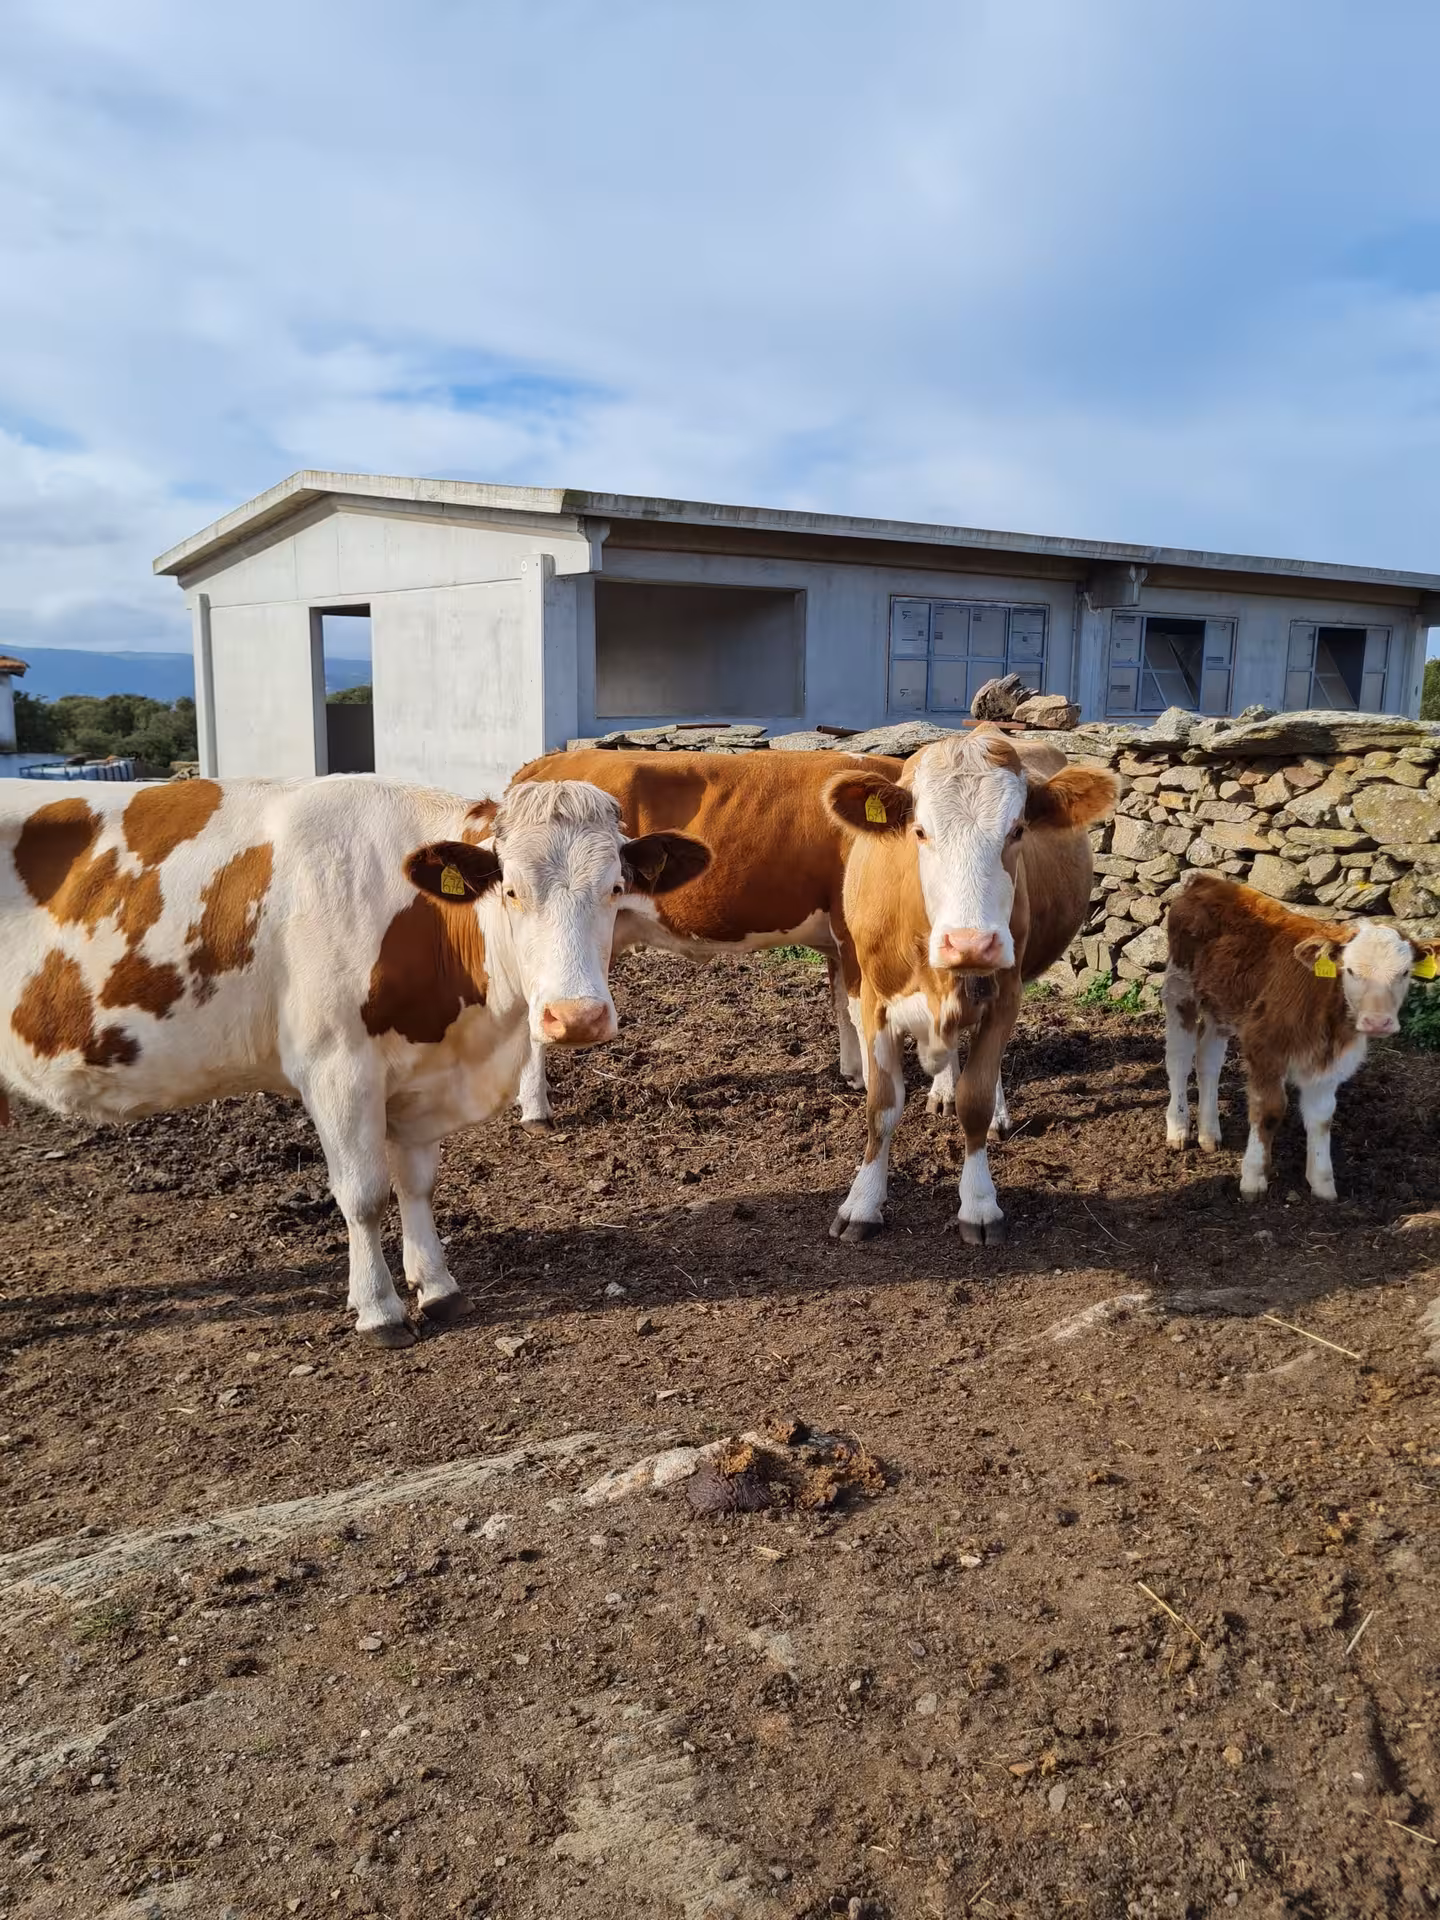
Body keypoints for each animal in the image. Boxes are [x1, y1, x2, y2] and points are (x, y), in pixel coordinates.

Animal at [0, 775, 707, 1344]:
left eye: (616, 887)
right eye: (509, 890)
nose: (577, 1017)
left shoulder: (420, 1075)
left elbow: (417, 1182)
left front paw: (438, 1287)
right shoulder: (336, 1068)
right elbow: (364, 1195)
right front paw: (379, 1310)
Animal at [822, 726, 1119, 1244]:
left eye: (1017, 830)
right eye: (920, 831)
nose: (971, 943)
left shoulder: (1005, 995)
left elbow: (975, 1100)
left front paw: (979, 1204)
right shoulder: (874, 997)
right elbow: (881, 1106)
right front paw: (862, 1202)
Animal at [1162, 874, 1438, 1201]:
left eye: (1405, 972)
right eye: (1351, 971)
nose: (1377, 1022)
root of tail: (1207, 880)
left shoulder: (1331, 1064)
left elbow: (1322, 1117)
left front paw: (1322, 1185)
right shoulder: (1265, 1047)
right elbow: (1268, 1111)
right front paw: (1253, 1179)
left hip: (1222, 1007)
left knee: (1208, 1060)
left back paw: (1209, 1134)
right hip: (1179, 989)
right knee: (1179, 1060)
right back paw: (1179, 1129)